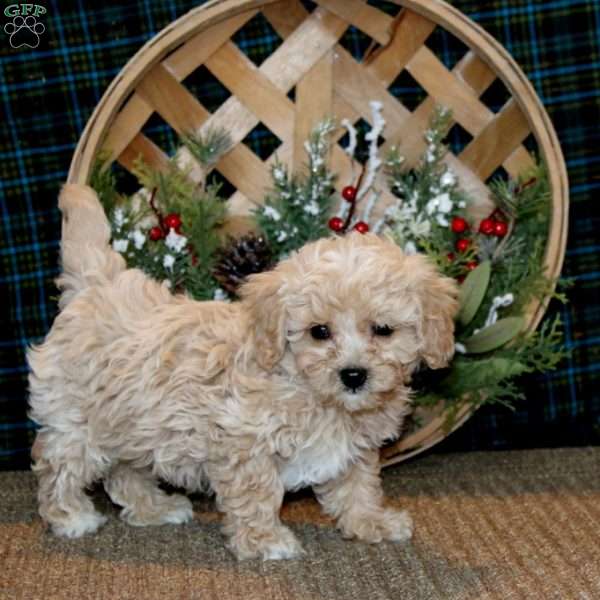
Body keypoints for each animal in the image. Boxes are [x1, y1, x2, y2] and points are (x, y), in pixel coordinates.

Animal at [28, 185, 458, 560]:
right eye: (319, 332)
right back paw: (70, 516)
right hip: (78, 421)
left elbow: (358, 486)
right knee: (58, 466)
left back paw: (153, 508)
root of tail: (97, 285)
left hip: (135, 422)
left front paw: (371, 522)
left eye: (383, 330)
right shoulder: (245, 443)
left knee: (124, 471)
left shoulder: (353, 449)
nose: (353, 375)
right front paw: (265, 541)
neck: (309, 390)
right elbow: (257, 494)